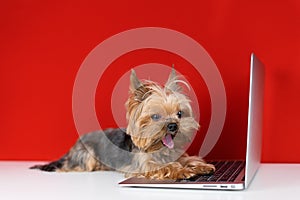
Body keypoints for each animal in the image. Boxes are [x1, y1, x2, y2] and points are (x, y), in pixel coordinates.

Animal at [31, 69, 216, 180]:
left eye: (179, 114)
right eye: (155, 116)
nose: (173, 126)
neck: (158, 147)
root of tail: (73, 146)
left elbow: (188, 159)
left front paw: (201, 166)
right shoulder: (144, 165)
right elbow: (166, 166)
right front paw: (183, 170)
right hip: (86, 156)